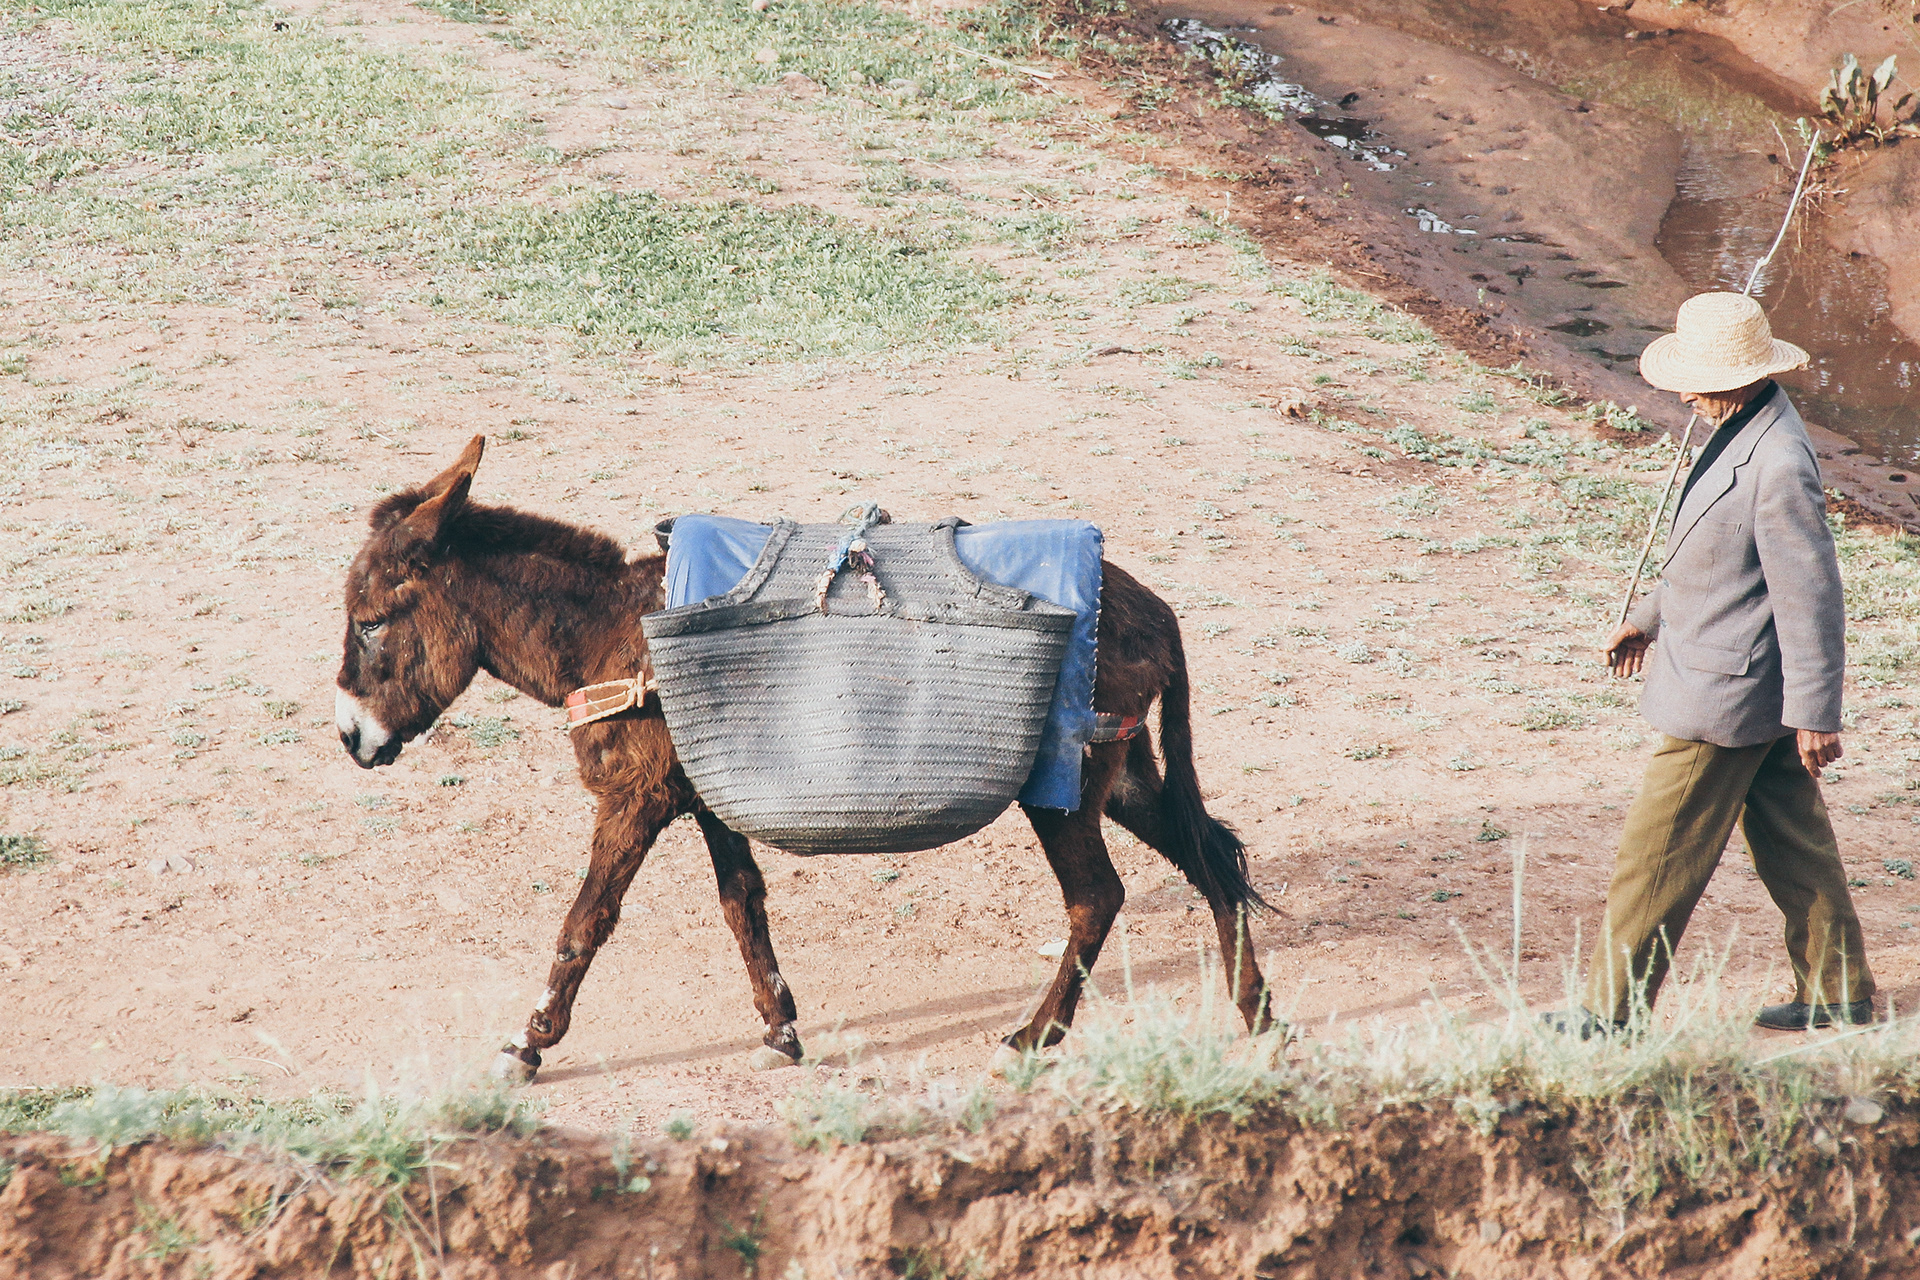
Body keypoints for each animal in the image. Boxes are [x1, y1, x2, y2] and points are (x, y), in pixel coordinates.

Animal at [334, 436, 1273, 1082]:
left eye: (372, 621)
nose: (349, 738)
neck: (609, 637)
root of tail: (1155, 610)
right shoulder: (706, 796)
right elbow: (742, 904)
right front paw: (781, 1030)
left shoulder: (634, 800)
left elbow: (583, 923)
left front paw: (528, 1046)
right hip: (1121, 775)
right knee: (1211, 861)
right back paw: (1258, 1017)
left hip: (1064, 786)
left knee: (1098, 897)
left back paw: (1033, 1038)